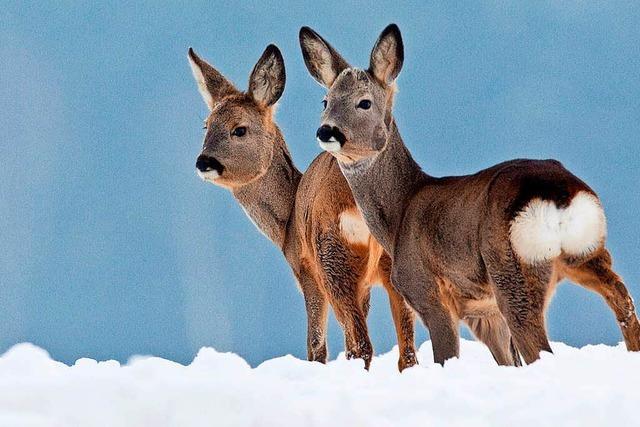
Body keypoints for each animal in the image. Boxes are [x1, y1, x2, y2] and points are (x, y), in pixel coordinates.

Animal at [188, 44, 418, 372]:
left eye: (239, 129)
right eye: (206, 125)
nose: (203, 162)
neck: (286, 222)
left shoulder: (306, 270)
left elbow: (316, 345)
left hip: (331, 255)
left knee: (360, 346)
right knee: (406, 353)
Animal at [300, 23, 640, 366]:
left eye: (364, 102)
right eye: (325, 101)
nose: (326, 131)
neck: (399, 213)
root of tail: (560, 195)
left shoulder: (428, 292)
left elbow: (446, 356)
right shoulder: (482, 312)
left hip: (512, 270)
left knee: (539, 346)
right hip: (587, 252)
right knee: (623, 301)